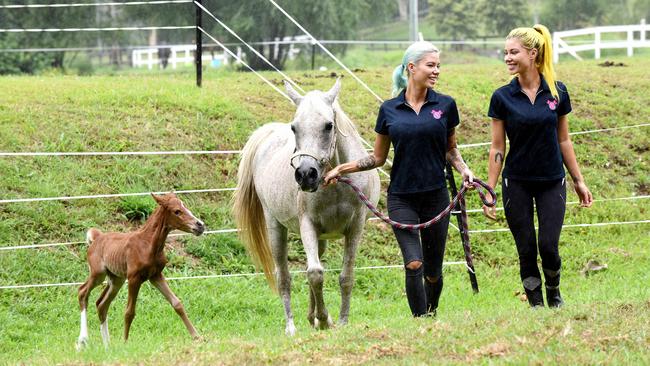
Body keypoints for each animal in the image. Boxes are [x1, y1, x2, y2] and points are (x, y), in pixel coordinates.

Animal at [75, 192, 205, 348]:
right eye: (177, 211)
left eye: (185, 205)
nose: (200, 225)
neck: (148, 244)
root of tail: (97, 237)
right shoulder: (134, 278)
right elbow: (129, 312)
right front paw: (125, 343)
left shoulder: (156, 275)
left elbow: (177, 304)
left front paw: (197, 337)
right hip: (98, 274)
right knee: (83, 292)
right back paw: (82, 340)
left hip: (116, 279)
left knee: (101, 304)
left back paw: (108, 346)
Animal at [232, 79, 378, 334]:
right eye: (294, 127)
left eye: (329, 126)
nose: (305, 174)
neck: (336, 185)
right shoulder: (307, 225)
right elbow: (315, 273)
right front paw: (324, 318)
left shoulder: (356, 227)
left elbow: (346, 277)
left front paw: (341, 321)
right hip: (276, 228)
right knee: (284, 278)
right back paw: (292, 327)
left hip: (320, 238)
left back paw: (313, 318)